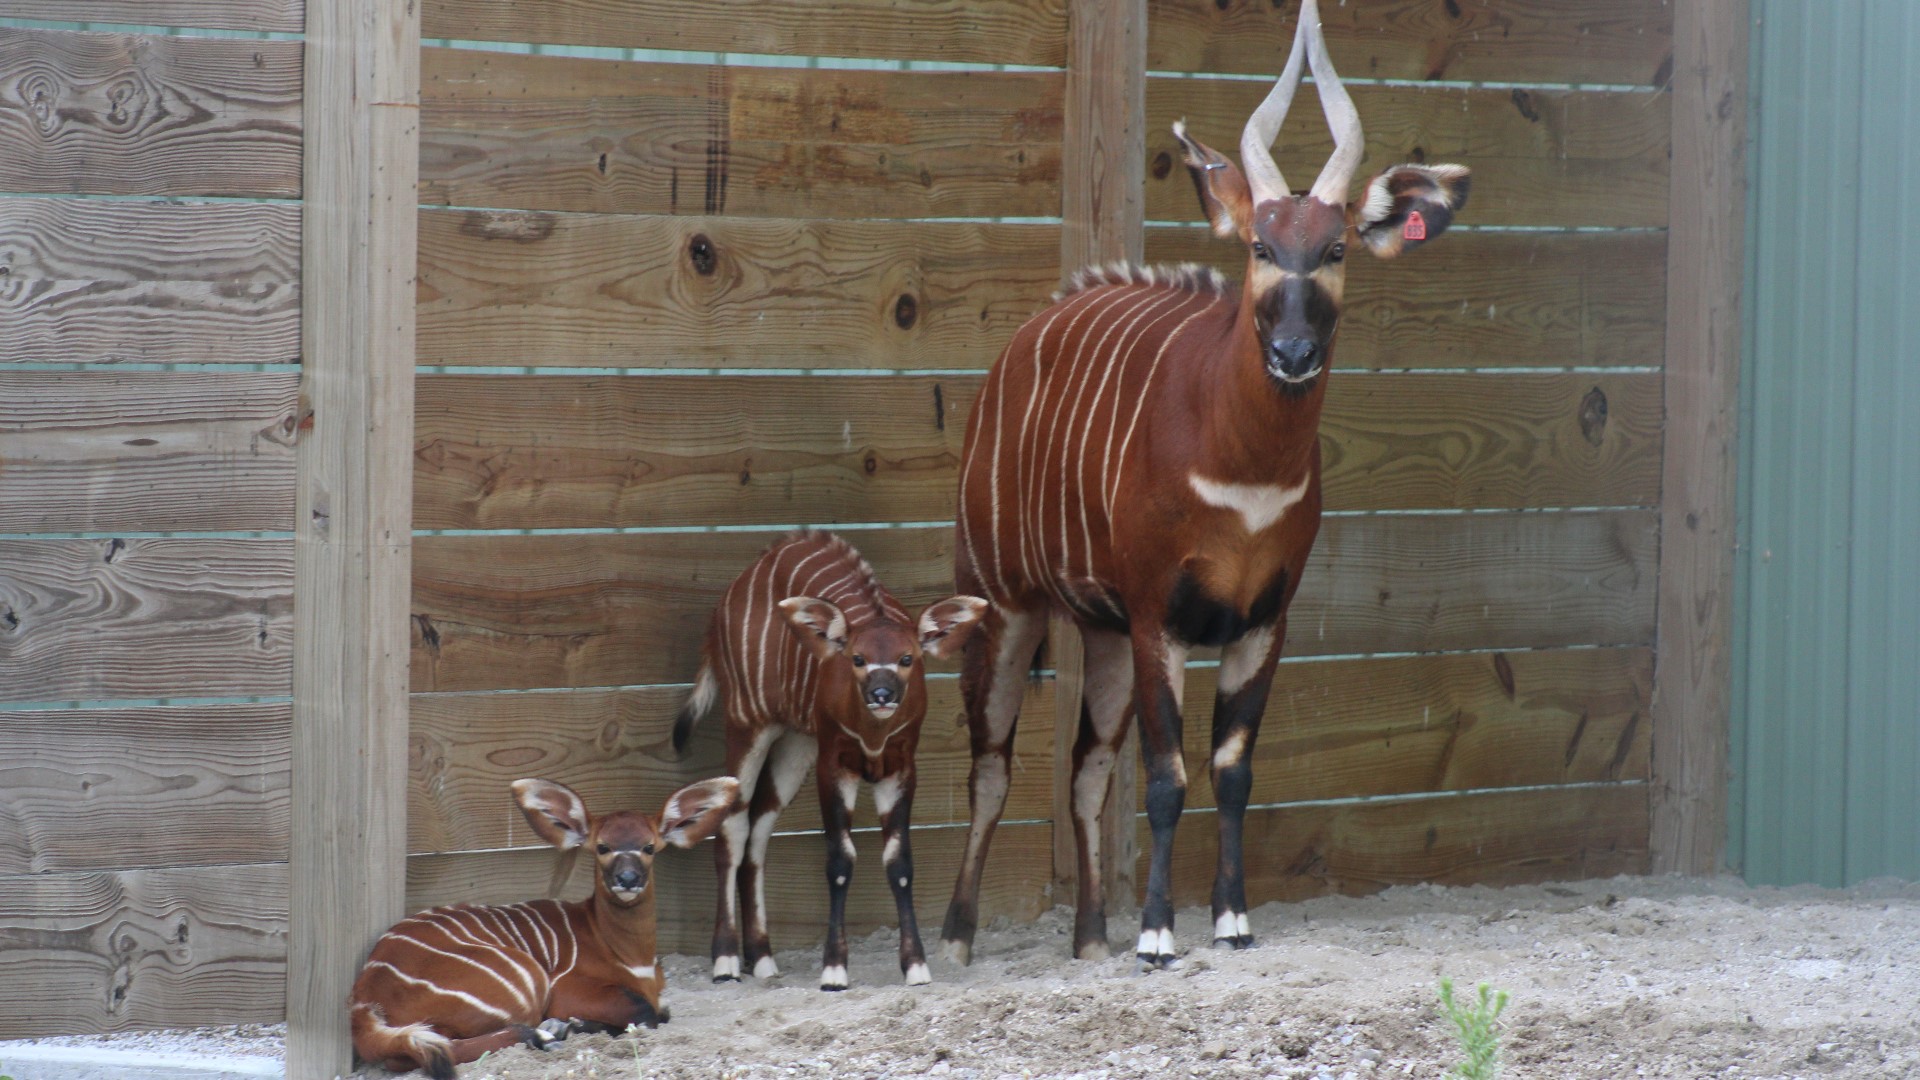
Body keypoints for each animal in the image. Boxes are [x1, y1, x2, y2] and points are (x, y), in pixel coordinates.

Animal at [348, 776, 738, 1078]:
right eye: (602, 847)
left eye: (649, 847)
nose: (627, 879)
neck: (628, 955)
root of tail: (364, 999)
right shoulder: (565, 988)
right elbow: (646, 1013)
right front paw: (572, 1024)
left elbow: (662, 1011)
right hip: (527, 979)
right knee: (427, 1049)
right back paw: (546, 1035)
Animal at [673, 530, 986, 990]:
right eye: (857, 658)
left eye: (907, 657)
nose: (881, 695)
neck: (873, 734)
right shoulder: (834, 766)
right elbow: (840, 860)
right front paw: (834, 971)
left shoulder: (899, 768)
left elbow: (900, 862)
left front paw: (916, 967)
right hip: (747, 725)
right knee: (732, 827)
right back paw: (726, 961)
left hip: (795, 744)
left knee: (758, 830)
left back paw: (762, 958)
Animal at [939, 0, 1470, 969]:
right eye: (1261, 243)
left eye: (1336, 247)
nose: (1293, 352)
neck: (1245, 471)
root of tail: (1020, 344)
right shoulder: (1163, 619)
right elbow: (1166, 778)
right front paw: (1157, 934)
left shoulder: (1259, 622)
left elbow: (1229, 772)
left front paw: (1230, 920)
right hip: (1004, 604)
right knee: (991, 763)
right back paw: (955, 941)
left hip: (1101, 632)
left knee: (1086, 768)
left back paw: (1089, 939)